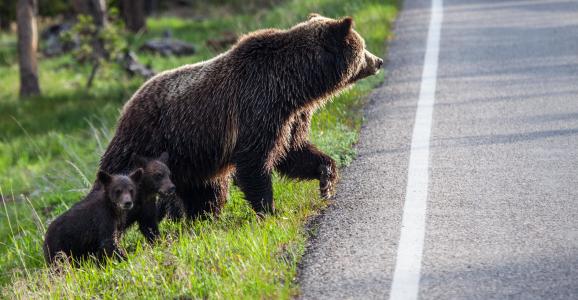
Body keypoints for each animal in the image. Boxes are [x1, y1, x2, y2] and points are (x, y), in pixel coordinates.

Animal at [99, 14, 382, 218]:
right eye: (363, 47)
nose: (378, 61)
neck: (296, 85)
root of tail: (128, 103)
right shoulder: (258, 107)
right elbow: (255, 162)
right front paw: (269, 210)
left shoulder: (292, 117)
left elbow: (293, 152)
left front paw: (326, 179)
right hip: (146, 141)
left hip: (192, 160)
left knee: (207, 193)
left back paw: (202, 218)